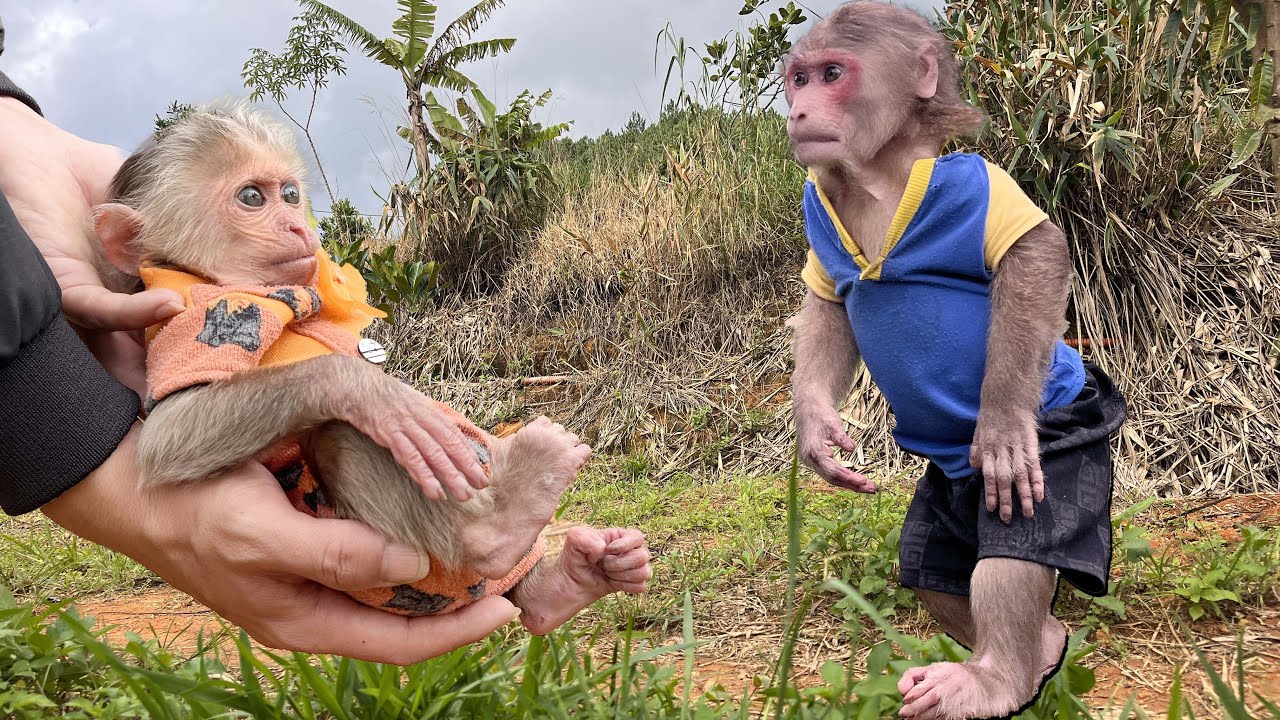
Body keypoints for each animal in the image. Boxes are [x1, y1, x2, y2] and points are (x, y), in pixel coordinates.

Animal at [90, 101, 652, 633]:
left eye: (288, 194)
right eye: (252, 197)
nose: (298, 224)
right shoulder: (193, 318)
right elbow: (170, 434)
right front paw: (367, 388)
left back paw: (565, 583)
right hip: (415, 570)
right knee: (340, 433)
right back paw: (496, 529)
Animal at [781, 3, 1127, 718]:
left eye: (831, 75)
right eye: (799, 79)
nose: (798, 110)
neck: (880, 178)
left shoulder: (980, 186)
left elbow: (1036, 254)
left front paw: (1000, 424)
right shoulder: (819, 212)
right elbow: (829, 307)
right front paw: (818, 434)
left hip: (1057, 451)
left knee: (1015, 549)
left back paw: (996, 678)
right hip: (940, 506)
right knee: (934, 574)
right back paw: (1043, 647)